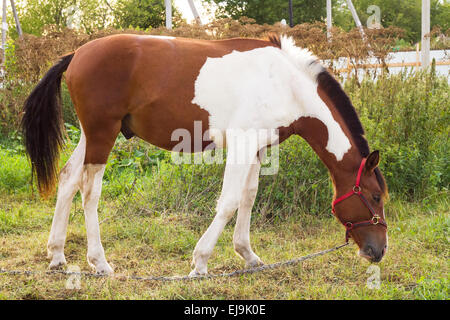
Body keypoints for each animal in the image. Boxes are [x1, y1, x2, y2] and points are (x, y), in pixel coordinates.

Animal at [20, 34, 386, 276]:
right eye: (375, 196)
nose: (378, 250)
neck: (285, 84)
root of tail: (77, 53)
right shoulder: (241, 145)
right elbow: (228, 202)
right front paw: (200, 261)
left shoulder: (256, 149)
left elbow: (248, 197)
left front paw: (248, 255)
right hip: (102, 135)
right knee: (89, 191)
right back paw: (99, 262)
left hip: (90, 134)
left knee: (68, 179)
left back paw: (57, 255)